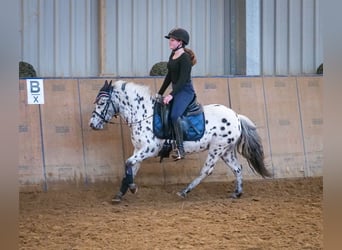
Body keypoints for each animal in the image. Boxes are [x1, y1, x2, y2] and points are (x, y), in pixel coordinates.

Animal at [89, 80, 272, 203]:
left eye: (102, 102)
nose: (92, 124)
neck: (143, 114)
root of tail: (236, 116)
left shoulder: (149, 149)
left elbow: (128, 163)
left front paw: (133, 188)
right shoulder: (138, 149)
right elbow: (130, 168)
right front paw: (120, 194)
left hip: (217, 148)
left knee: (207, 170)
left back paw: (184, 191)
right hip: (226, 150)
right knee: (237, 168)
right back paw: (237, 193)